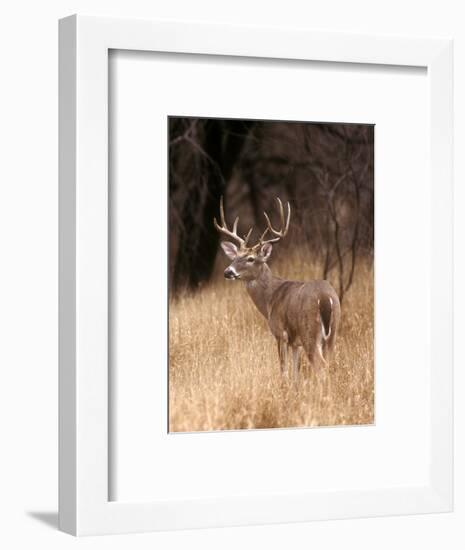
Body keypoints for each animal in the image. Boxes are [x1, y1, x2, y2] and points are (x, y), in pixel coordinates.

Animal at [215, 198, 340, 380]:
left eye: (251, 258)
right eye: (235, 256)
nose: (227, 272)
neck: (270, 298)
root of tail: (325, 298)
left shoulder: (281, 333)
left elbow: (284, 370)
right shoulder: (295, 343)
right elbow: (295, 372)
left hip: (309, 330)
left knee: (320, 365)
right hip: (332, 332)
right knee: (329, 364)